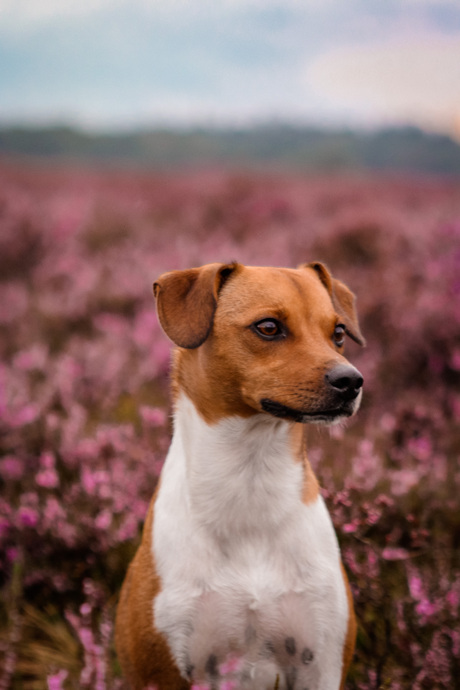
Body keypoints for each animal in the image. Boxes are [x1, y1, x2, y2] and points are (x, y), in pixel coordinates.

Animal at [116, 260, 366, 684]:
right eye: (268, 327)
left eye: (338, 333)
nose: (351, 381)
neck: (250, 477)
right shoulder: (162, 672)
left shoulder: (321, 663)